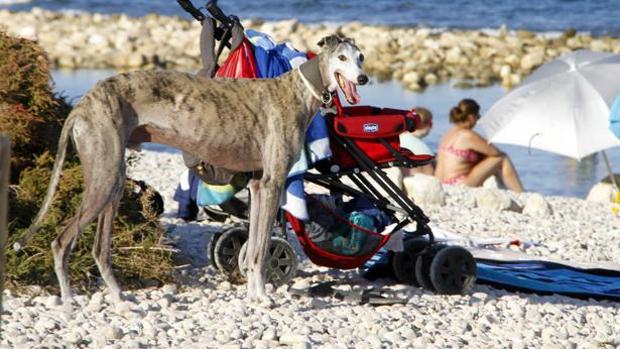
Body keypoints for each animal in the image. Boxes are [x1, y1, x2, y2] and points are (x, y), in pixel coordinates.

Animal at [17, 34, 368, 308]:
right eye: (341, 57)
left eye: (361, 57)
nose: (363, 79)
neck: (297, 90)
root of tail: (83, 105)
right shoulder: (273, 182)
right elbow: (259, 250)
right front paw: (263, 298)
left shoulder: (258, 185)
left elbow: (254, 246)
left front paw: (253, 296)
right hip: (104, 176)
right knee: (61, 242)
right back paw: (68, 302)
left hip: (111, 179)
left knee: (99, 248)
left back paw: (118, 298)